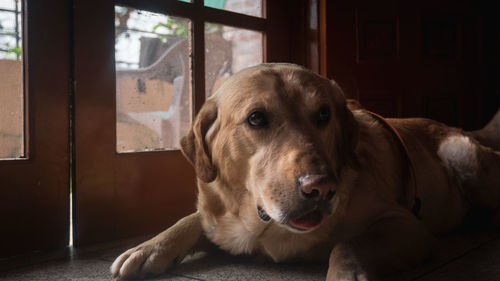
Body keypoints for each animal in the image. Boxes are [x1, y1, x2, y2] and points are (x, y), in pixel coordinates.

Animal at [110, 63, 500, 280]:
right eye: (256, 118)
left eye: (324, 115)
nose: (321, 188)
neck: (263, 225)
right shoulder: (218, 219)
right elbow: (191, 219)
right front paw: (148, 248)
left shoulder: (408, 226)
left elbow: (347, 245)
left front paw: (347, 273)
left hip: (462, 157)